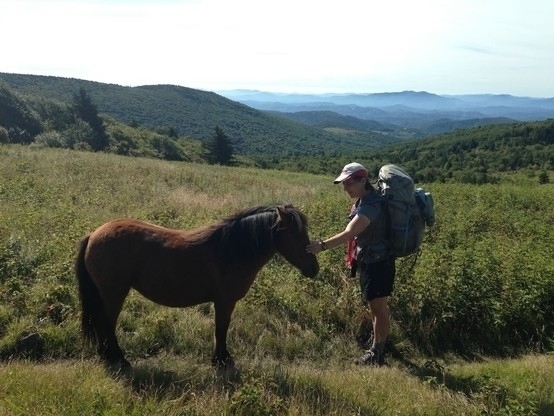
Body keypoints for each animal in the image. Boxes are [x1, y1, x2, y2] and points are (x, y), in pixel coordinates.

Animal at [76, 204, 320, 368]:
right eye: (296, 234)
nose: (314, 268)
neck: (229, 251)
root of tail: (94, 234)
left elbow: (220, 330)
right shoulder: (224, 302)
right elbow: (221, 329)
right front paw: (221, 360)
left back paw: (107, 355)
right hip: (114, 293)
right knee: (106, 323)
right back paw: (117, 358)